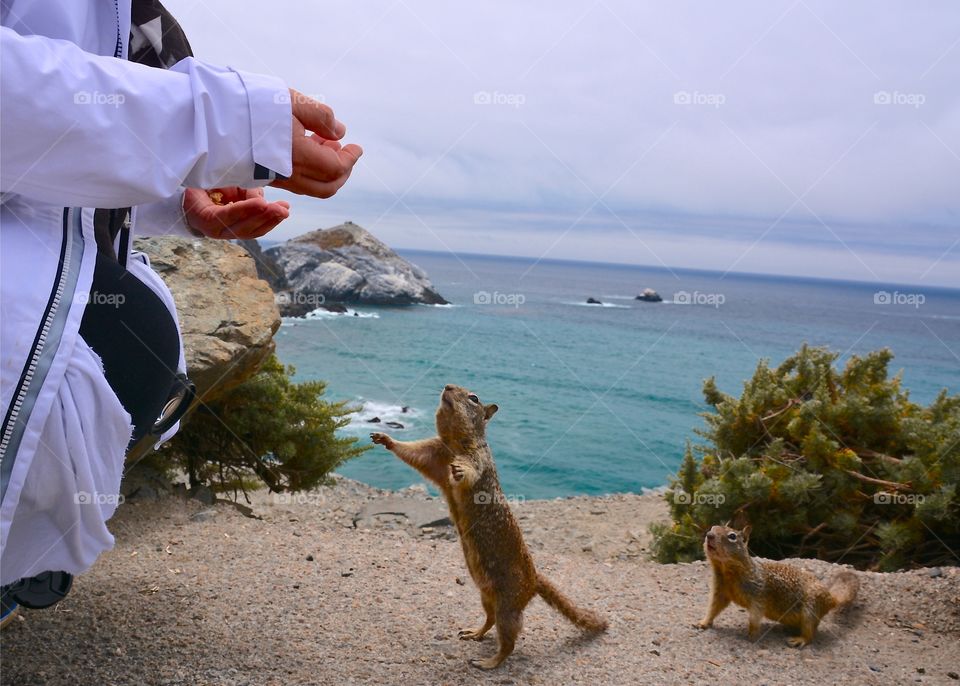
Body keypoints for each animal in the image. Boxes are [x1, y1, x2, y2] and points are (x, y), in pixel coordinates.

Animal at [370, 388, 604, 672]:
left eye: (473, 398)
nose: (446, 386)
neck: (454, 443)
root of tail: (535, 579)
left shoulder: (477, 459)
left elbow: (470, 470)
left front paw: (460, 469)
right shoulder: (433, 452)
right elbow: (411, 452)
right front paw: (386, 439)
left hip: (508, 605)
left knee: (509, 642)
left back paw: (489, 662)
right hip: (486, 597)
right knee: (490, 621)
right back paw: (475, 633)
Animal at [692, 528, 860, 652]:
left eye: (732, 536)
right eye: (712, 527)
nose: (709, 535)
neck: (727, 571)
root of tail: (831, 598)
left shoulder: (758, 595)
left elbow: (755, 616)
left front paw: (752, 635)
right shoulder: (720, 591)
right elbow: (714, 608)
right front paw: (703, 622)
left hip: (810, 610)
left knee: (810, 632)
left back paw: (800, 639)